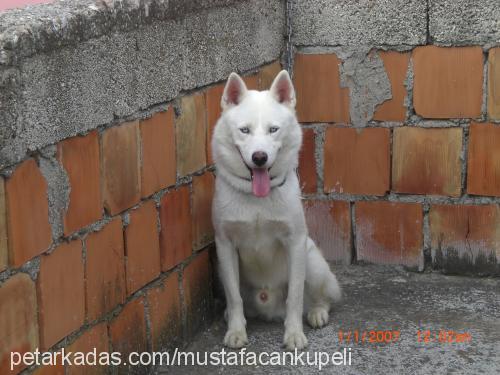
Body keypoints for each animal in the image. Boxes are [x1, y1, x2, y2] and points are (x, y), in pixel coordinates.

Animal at [209, 70, 342, 350]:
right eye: (245, 130)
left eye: (273, 130)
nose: (259, 157)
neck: (257, 200)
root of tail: (269, 309)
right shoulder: (224, 245)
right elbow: (234, 298)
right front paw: (236, 331)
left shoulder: (295, 242)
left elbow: (295, 296)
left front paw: (293, 334)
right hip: (220, 268)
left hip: (313, 261)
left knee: (320, 298)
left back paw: (317, 312)